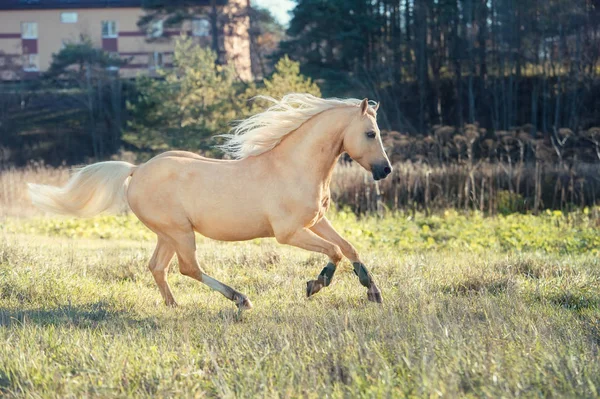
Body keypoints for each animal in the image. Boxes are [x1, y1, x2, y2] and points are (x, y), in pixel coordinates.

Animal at [28, 94, 394, 312]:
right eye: (371, 133)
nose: (385, 170)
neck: (293, 166)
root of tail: (137, 169)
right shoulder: (289, 233)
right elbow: (334, 253)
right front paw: (315, 285)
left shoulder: (316, 221)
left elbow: (349, 248)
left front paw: (373, 293)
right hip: (180, 232)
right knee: (188, 267)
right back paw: (240, 300)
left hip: (168, 234)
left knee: (157, 267)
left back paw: (174, 305)